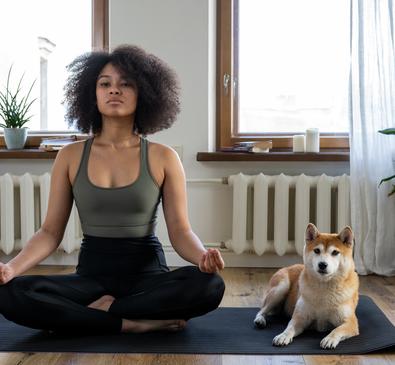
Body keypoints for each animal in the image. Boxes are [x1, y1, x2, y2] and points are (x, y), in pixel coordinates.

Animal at [255, 220, 360, 348]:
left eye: (335, 252)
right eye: (317, 250)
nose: (322, 264)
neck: (324, 289)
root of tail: (288, 266)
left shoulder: (350, 323)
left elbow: (337, 330)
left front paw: (329, 339)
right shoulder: (300, 318)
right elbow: (289, 328)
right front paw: (283, 336)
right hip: (281, 288)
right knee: (262, 310)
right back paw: (260, 320)